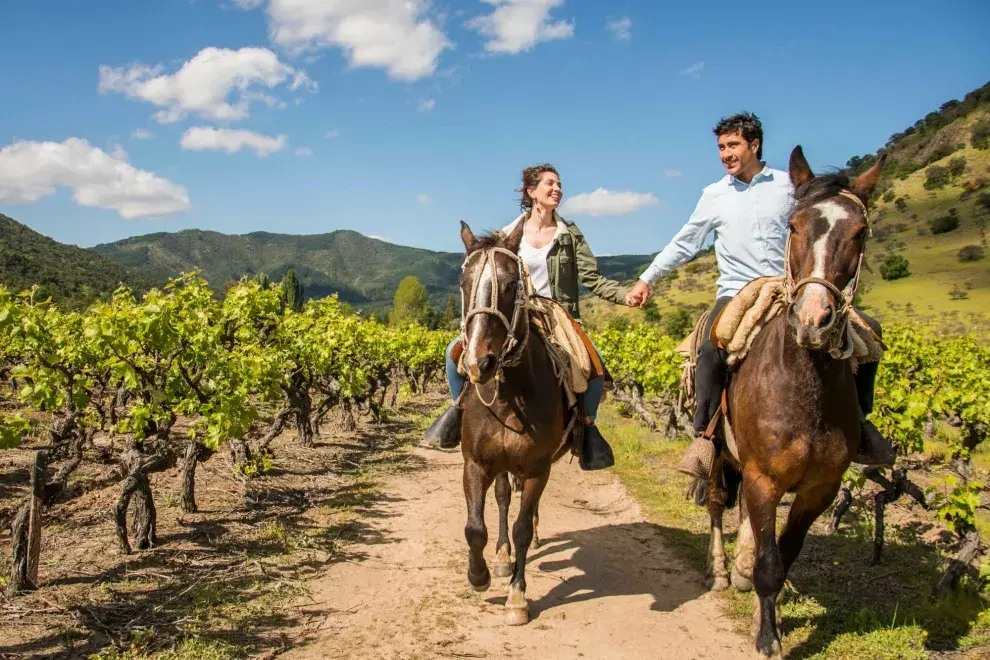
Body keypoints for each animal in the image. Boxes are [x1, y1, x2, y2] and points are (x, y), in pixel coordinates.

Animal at [458, 220, 572, 624]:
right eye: (464, 283)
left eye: (510, 286)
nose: (479, 363)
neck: (510, 393)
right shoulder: (476, 464)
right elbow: (475, 528)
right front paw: (479, 575)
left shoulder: (538, 467)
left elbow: (522, 527)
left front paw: (517, 597)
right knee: (505, 499)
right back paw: (502, 557)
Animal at [704, 147, 892, 656]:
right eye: (793, 225)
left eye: (860, 231)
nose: (812, 319)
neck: (805, 391)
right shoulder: (763, 477)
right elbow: (769, 560)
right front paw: (768, 638)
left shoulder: (820, 487)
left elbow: (782, 555)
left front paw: (767, 617)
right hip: (720, 452)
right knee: (717, 504)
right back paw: (723, 571)